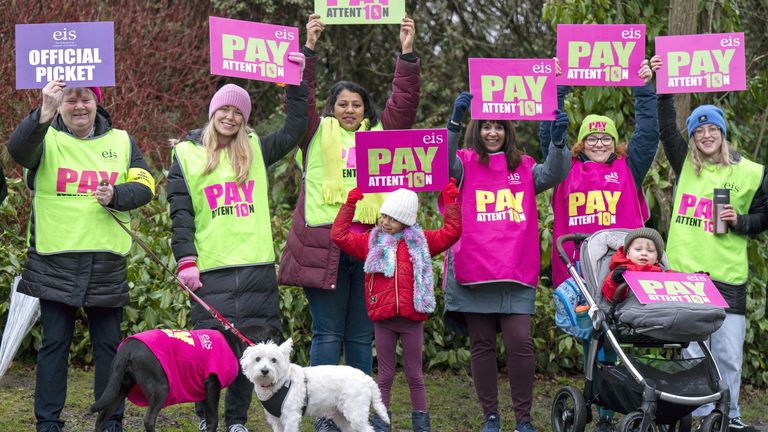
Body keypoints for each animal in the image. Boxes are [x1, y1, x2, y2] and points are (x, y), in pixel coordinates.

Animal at [240, 338, 390, 432]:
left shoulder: (291, 417)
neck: (278, 384)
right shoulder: (276, 420)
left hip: (355, 411)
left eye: (274, 360)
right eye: (257, 359)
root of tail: (366, 377)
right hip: (341, 415)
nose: (264, 371)